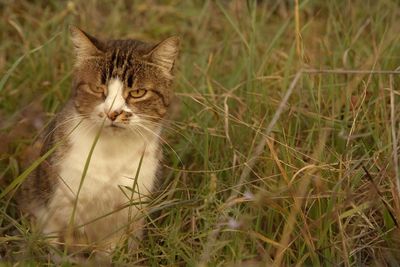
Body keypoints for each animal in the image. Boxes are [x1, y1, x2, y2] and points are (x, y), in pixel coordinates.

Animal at [17, 26, 180, 258]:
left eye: (138, 92)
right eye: (97, 88)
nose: (113, 113)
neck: (112, 153)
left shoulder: (128, 213)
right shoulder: (54, 205)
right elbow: (53, 244)